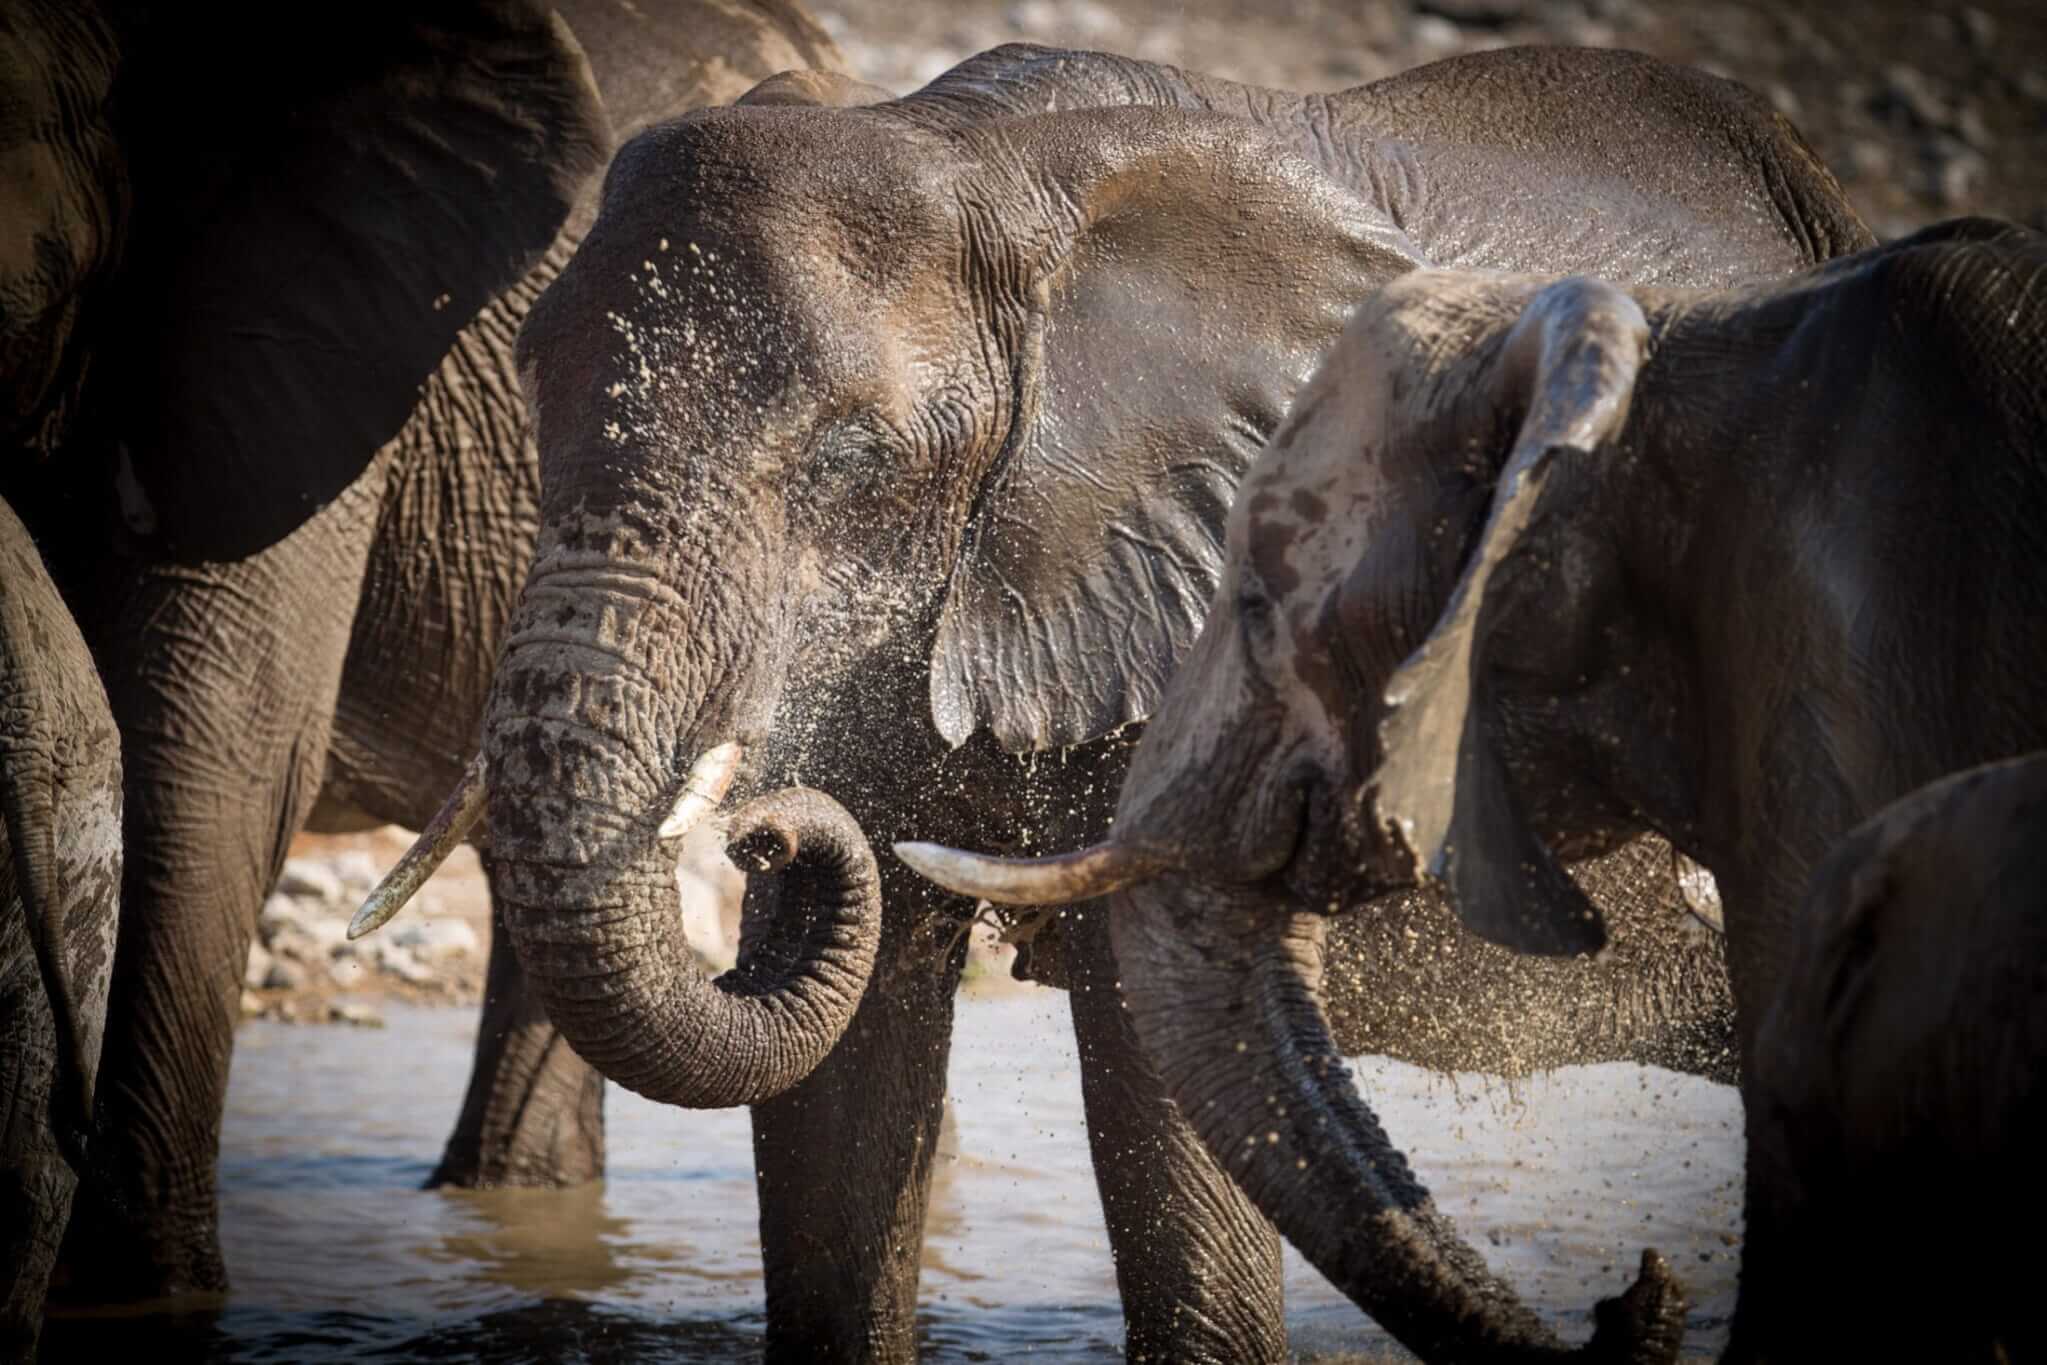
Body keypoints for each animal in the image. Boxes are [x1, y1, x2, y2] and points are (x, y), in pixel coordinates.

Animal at [356, 39, 1871, 1363]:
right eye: (528, 398)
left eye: (854, 462)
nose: (765, 826)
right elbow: (848, 1046)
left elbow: (1158, 1045)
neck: (973, 163)